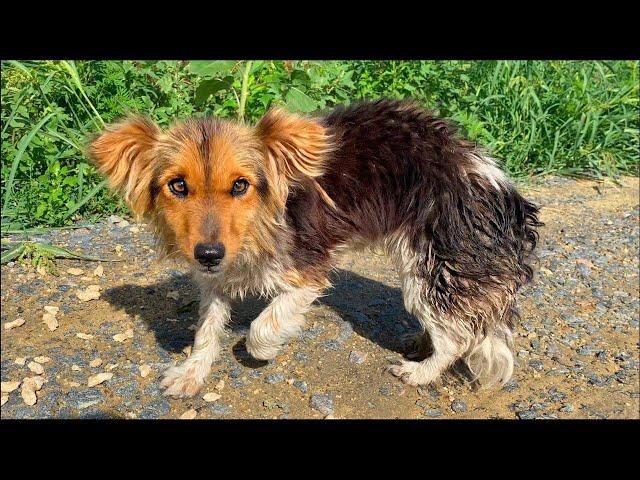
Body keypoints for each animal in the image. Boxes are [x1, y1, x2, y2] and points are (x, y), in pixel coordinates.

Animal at [90, 98, 540, 398]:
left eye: (241, 185)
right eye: (178, 186)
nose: (208, 254)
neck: (256, 229)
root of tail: (498, 186)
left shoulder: (307, 271)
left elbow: (260, 328)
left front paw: (265, 350)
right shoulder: (216, 277)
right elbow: (206, 329)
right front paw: (191, 373)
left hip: (430, 266)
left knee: (458, 336)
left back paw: (421, 372)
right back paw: (419, 341)